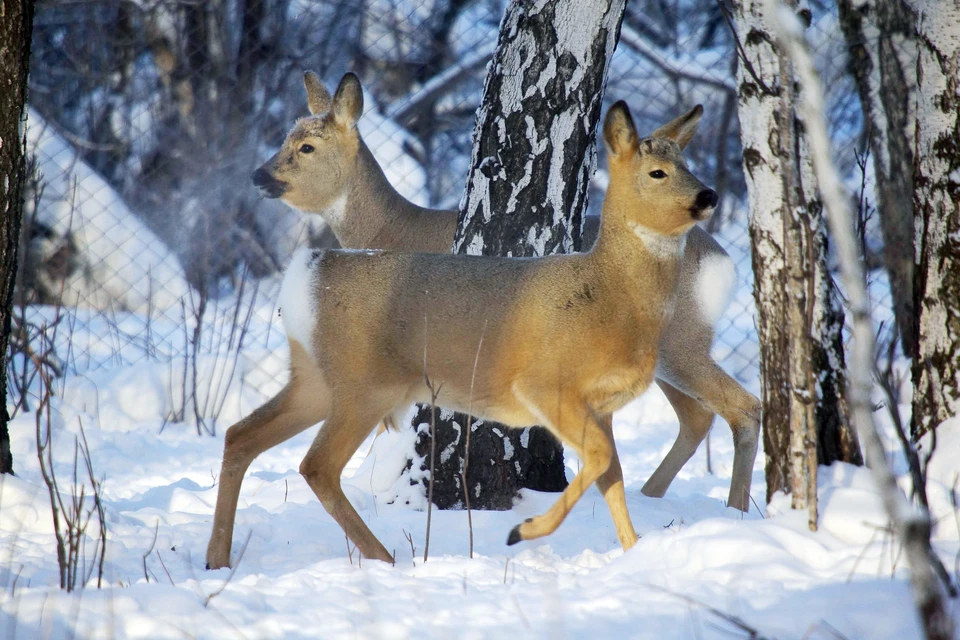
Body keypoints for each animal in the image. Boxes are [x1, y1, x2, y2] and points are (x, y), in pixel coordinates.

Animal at [204, 97, 756, 568]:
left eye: (688, 165)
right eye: (657, 172)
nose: (708, 194)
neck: (608, 290)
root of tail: (305, 273)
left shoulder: (598, 406)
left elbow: (610, 476)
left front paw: (633, 553)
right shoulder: (546, 385)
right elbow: (602, 464)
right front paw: (524, 531)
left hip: (320, 380)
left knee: (242, 435)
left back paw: (219, 558)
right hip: (365, 384)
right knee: (314, 464)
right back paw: (385, 557)